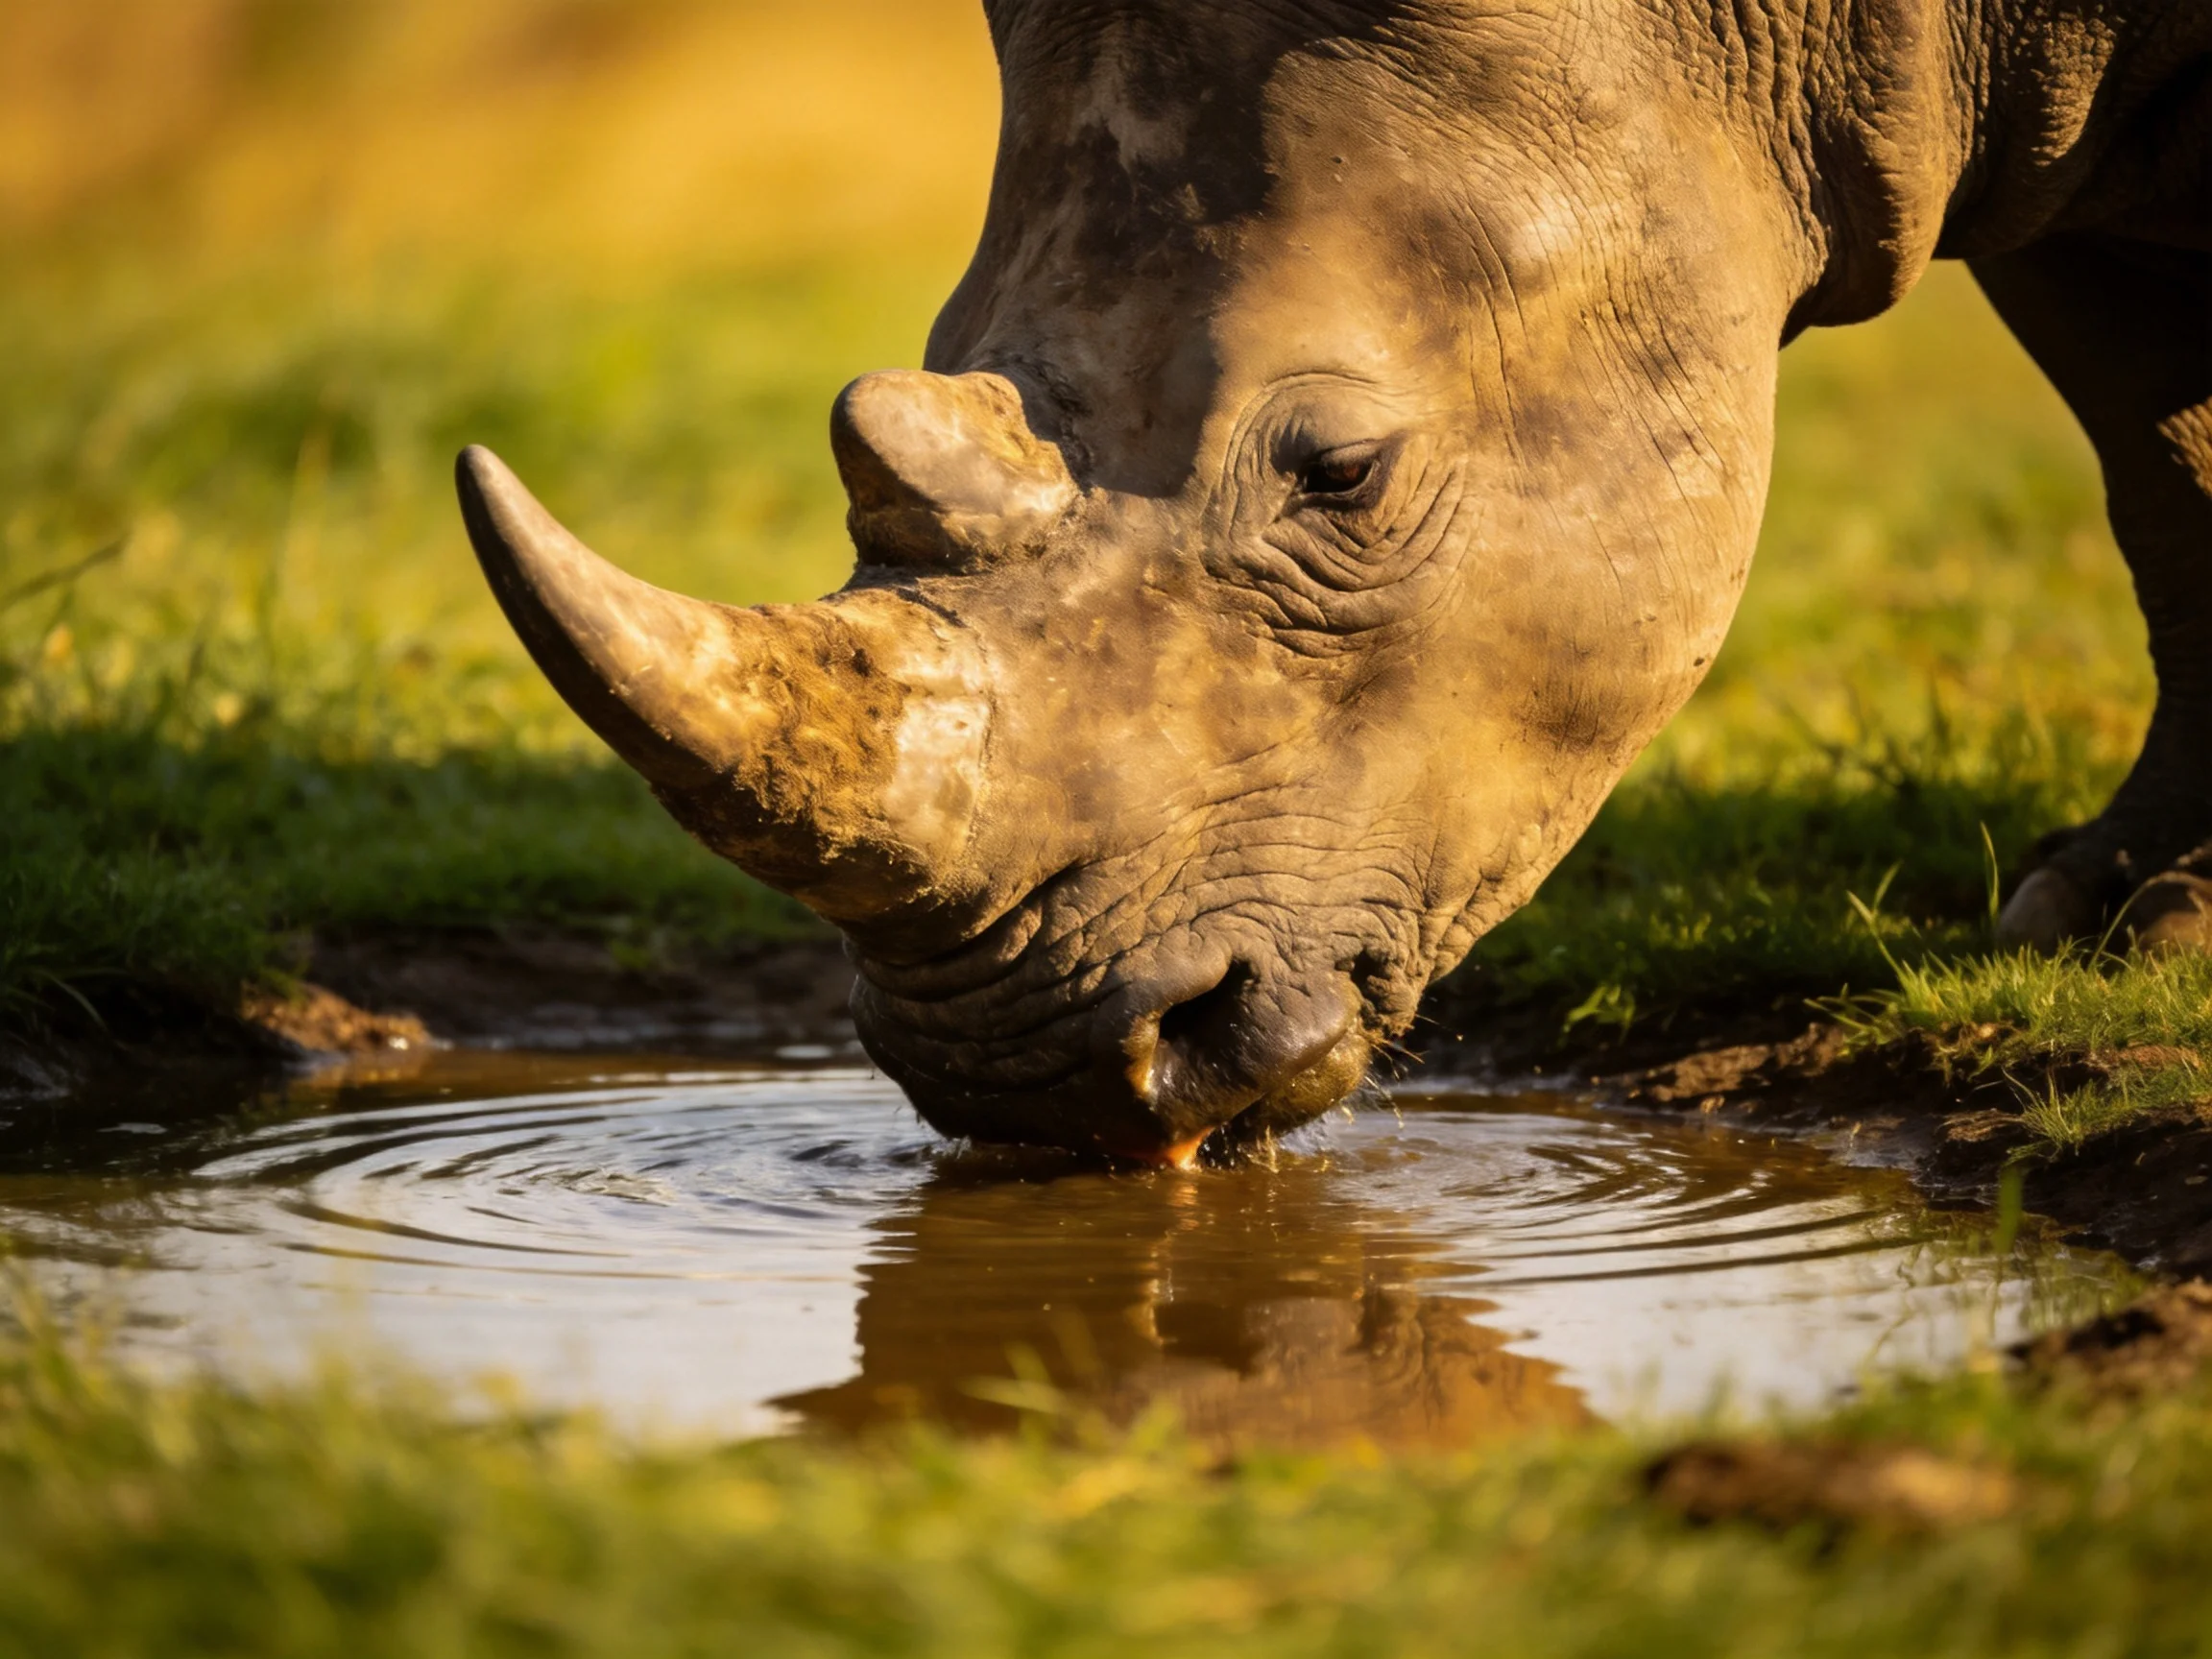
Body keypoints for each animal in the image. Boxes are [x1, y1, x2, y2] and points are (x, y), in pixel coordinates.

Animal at [458, 2, 2212, 1163]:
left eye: (1344, 474)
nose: (1017, 1078)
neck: (1775, 33)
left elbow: (2168, 450)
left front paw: (2160, 930)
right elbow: (2156, 455)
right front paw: (2095, 909)